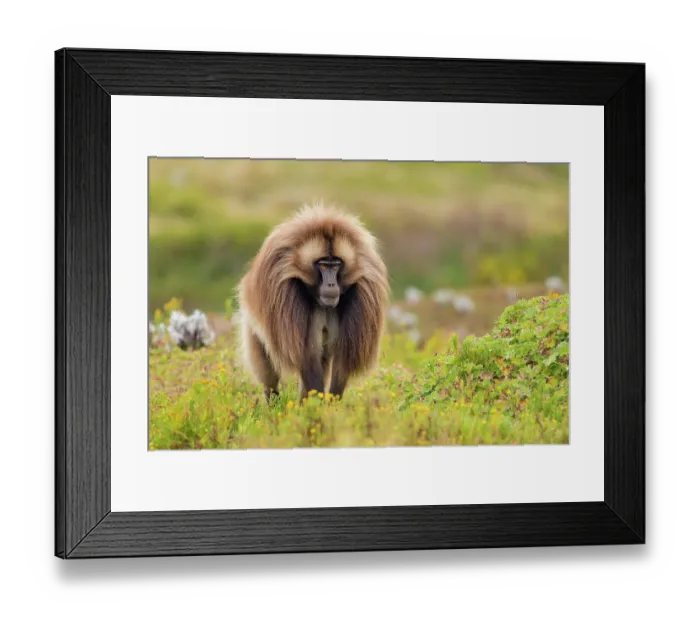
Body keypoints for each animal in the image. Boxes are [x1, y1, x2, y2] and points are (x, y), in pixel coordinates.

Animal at [236, 203, 390, 403]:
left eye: (336, 265)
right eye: (323, 265)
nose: (331, 285)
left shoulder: (364, 292)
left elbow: (342, 359)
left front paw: (330, 407)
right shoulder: (285, 295)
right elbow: (306, 355)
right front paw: (314, 408)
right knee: (268, 370)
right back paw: (273, 404)